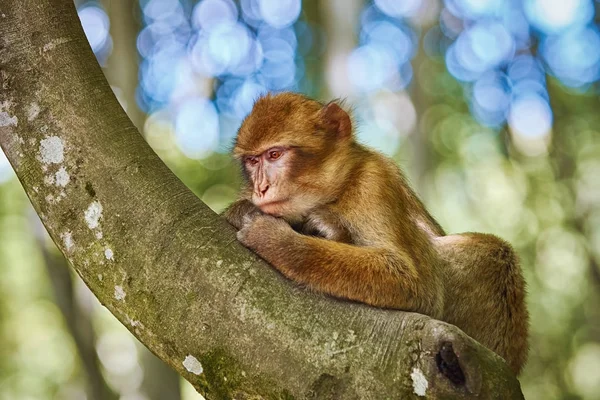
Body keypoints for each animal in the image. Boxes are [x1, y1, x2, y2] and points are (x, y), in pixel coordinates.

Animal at [224, 92, 528, 374]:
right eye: (252, 161)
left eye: (274, 155)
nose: (261, 188)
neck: (336, 191)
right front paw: (244, 212)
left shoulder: (374, 181)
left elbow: (416, 284)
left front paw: (277, 239)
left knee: (493, 250)